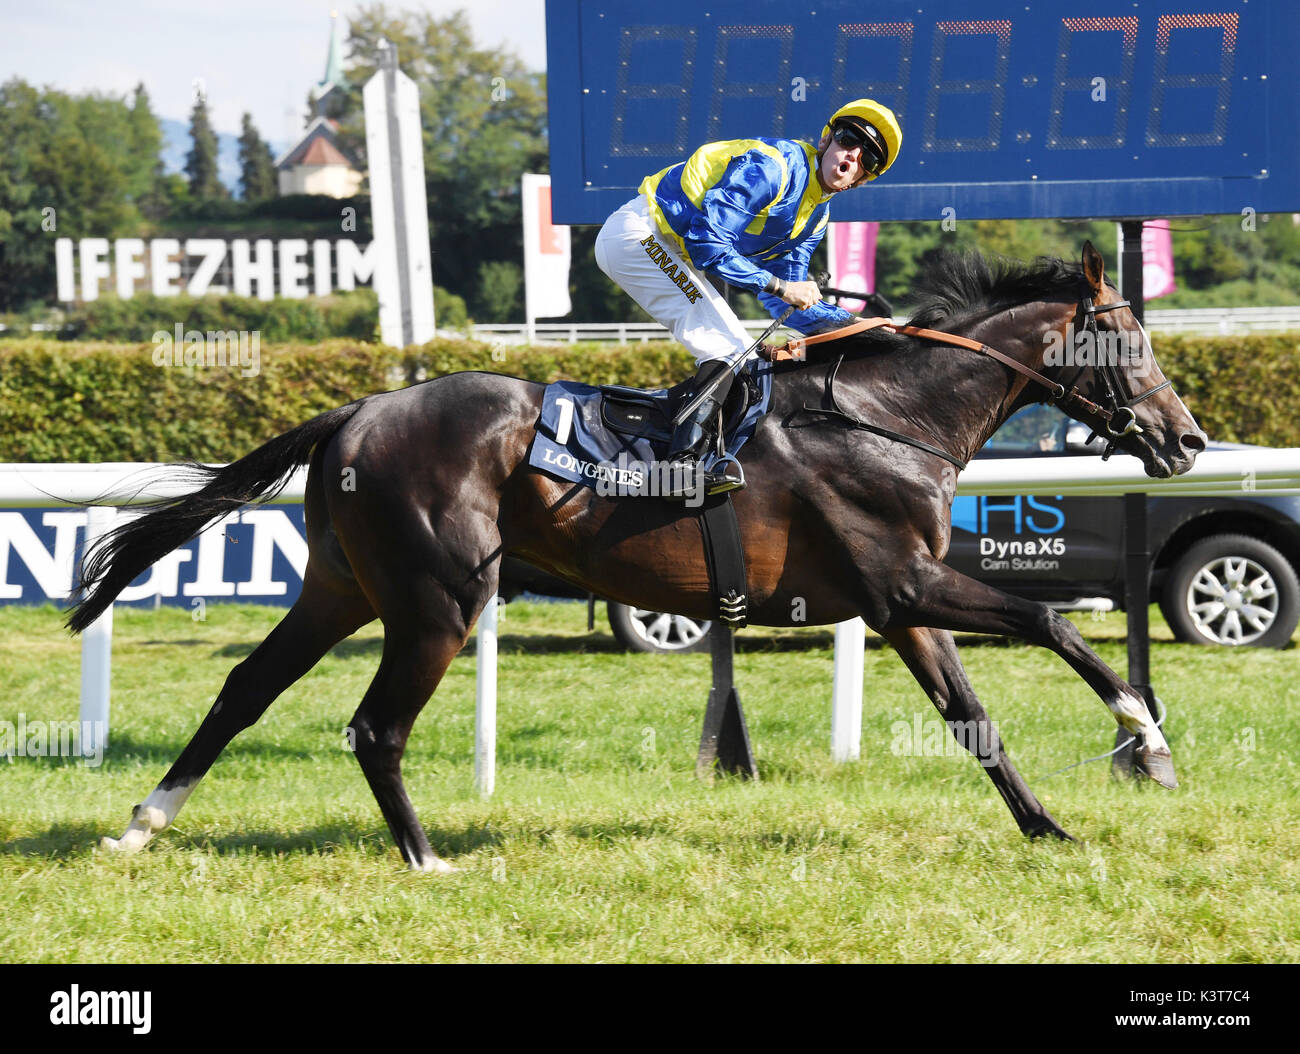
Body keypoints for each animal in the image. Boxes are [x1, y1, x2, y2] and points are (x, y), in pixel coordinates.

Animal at [68, 241, 1206, 873]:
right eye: (1130, 345)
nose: (1188, 439)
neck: (889, 414)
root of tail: (356, 410)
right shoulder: (904, 582)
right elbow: (1053, 622)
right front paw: (1146, 738)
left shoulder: (899, 604)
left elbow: (972, 718)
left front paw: (1048, 829)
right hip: (439, 600)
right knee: (374, 727)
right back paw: (428, 859)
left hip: (342, 588)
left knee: (244, 687)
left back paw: (141, 825)